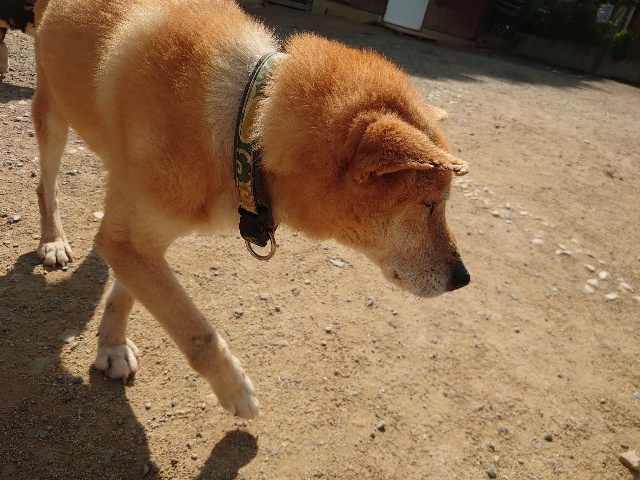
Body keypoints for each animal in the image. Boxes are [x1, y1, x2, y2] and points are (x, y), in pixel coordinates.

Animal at [32, 0, 470, 419]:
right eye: (429, 205)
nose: (462, 279)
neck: (245, 124)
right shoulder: (133, 240)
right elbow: (197, 332)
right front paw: (236, 392)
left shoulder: (139, 241)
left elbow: (126, 292)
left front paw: (112, 346)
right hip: (51, 114)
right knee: (45, 184)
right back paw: (53, 240)